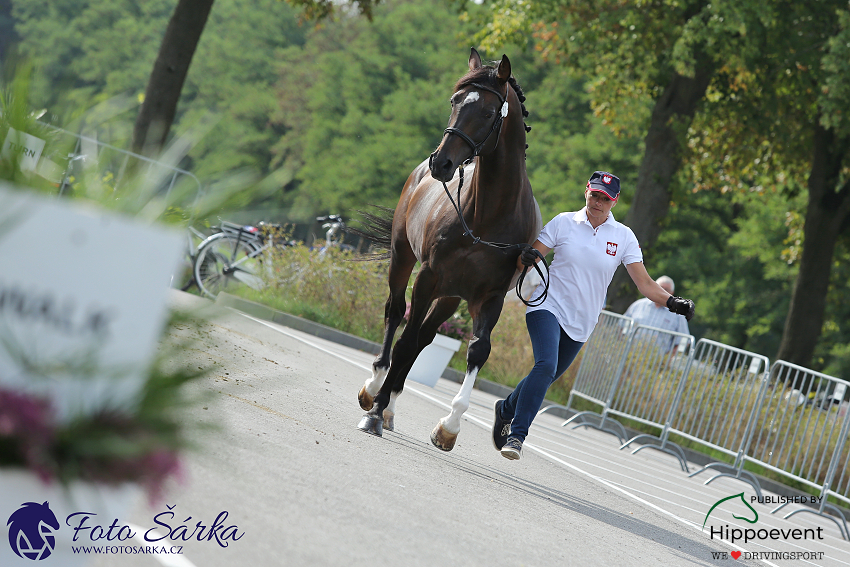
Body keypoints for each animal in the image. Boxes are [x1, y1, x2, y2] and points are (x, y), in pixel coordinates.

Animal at [354, 47, 540, 452]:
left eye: (487, 111)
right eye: (455, 101)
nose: (441, 162)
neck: (487, 217)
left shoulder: (490, 297)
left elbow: (477, 350)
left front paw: (450, 426)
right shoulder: (428, 277)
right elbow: (405, 338)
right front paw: (374, 413)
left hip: (450, 296)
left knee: (424, 336)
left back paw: (390, 405)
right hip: (403, 259)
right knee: (396, 314)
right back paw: (374, 389)